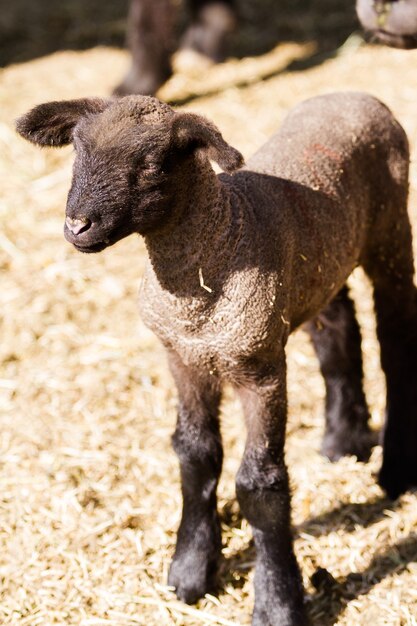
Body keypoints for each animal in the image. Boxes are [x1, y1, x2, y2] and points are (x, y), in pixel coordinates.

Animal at [15, 92, 416, 624]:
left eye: (151, 163)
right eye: (77, 150)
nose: (77, 225)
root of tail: (357, 96)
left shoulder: (260, 369)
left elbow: (260, 484)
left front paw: (277, 602)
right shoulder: (183, 361)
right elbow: (196, 455)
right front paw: (190, 570)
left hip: (390, 230)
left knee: (396, 340)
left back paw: (396, 469)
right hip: (321, 260)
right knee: (338, 329)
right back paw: (341, 440)